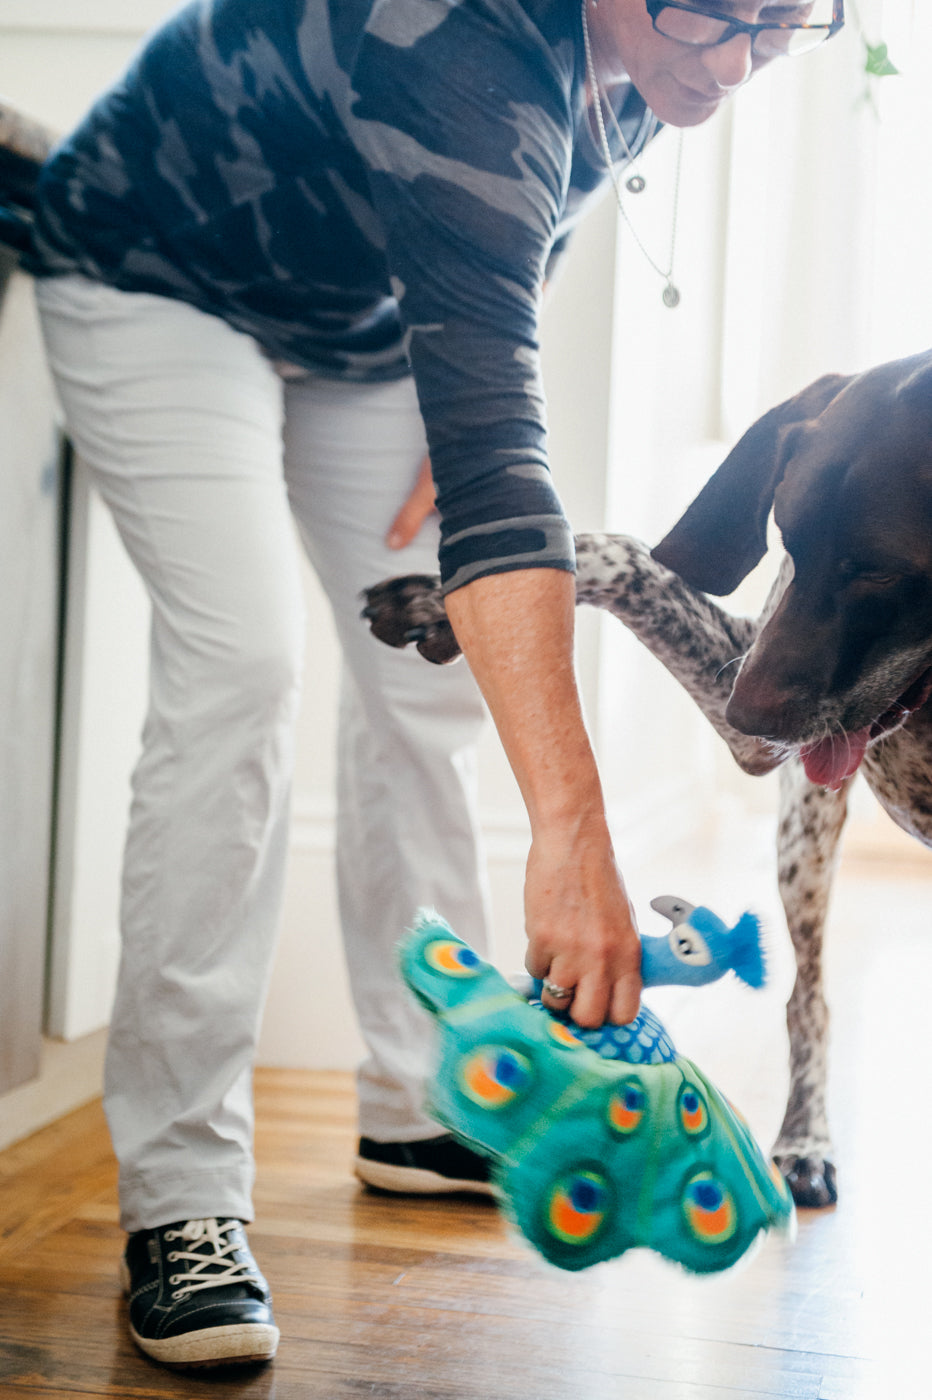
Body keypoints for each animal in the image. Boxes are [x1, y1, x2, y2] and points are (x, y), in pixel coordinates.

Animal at [358, 352, 929, 1215]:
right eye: (788, 542)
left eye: (882, 570)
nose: (750, 716)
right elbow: (622, 553)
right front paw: (433, 597)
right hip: (803, 837)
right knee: (808, 999)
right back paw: (804, 1140)